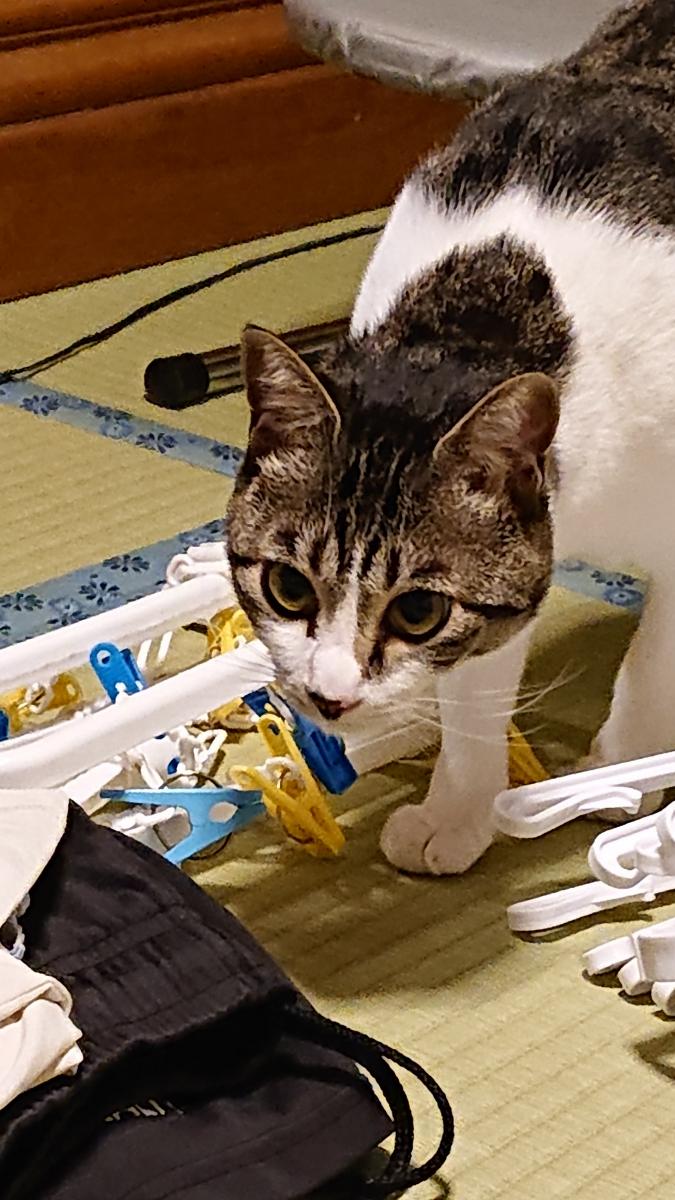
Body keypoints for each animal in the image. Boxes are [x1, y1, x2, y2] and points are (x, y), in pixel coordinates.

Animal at [226, 0, 675, 875]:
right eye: (288, 588)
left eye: (415, 612)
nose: (330, 697)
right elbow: (473, 694)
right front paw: (456, 812)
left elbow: (648, 670)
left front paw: (617, 776)